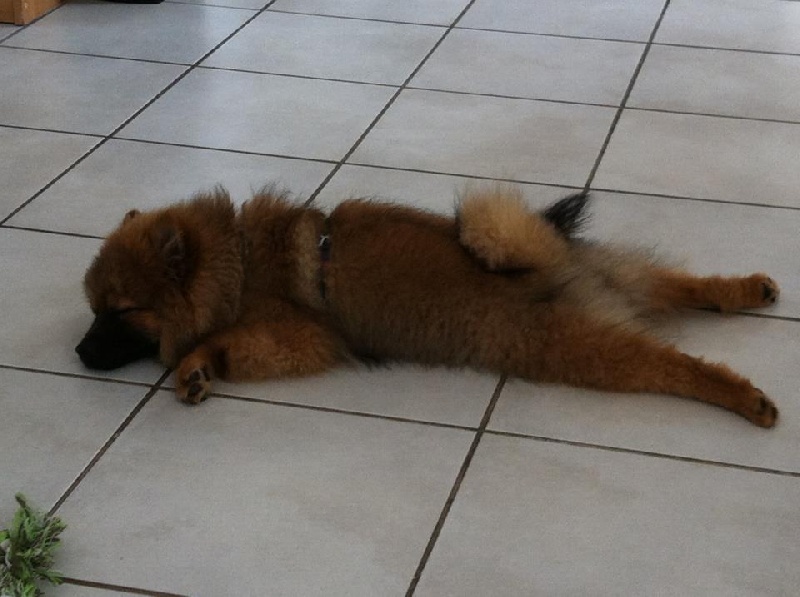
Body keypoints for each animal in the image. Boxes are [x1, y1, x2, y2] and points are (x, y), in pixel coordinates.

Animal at [76, 186, 780, 428]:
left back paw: (743, 396)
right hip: (628, 282)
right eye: (93, 309)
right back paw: (746, 289)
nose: (78, 352)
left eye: (121, 311)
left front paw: (193, 366)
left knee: (679, 367)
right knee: (682, 287)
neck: (240, 264)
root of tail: (555, 269)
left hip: (584, 347)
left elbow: (219, 344)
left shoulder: (299, 335)